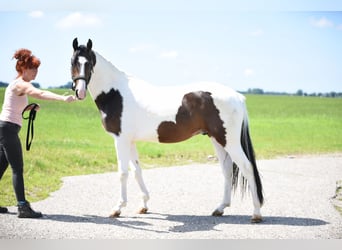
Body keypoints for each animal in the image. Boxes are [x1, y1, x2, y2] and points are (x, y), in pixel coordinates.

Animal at [69, 37, 262, 223]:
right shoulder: (130, 141)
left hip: (229, 141)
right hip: (217, 139)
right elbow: (137, 171)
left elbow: (123, 173)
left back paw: (256, 213)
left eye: (89, 63)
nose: (79, 91)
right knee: (227, 170)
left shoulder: (121, 139)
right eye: (72, 62)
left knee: (247, 167)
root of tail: (238, 97)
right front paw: (144, 205)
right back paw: (220, 208)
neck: (116, 93)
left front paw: (117, 208)